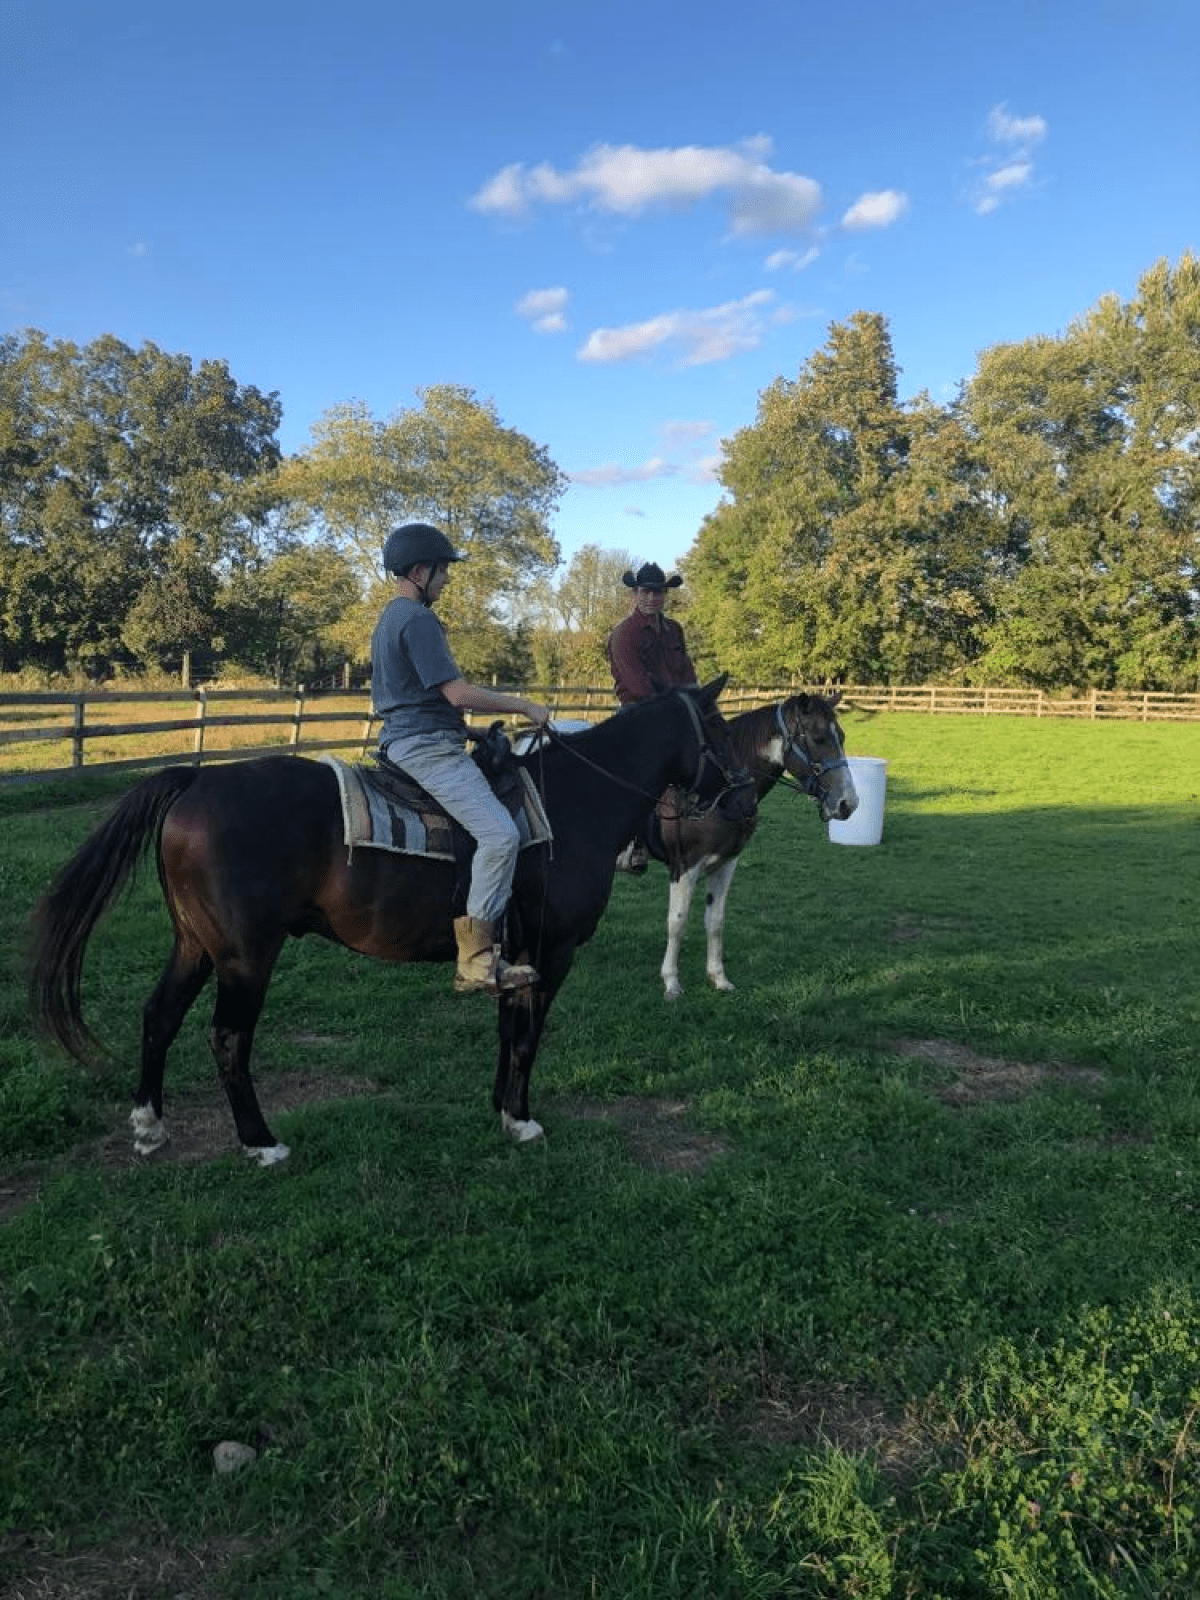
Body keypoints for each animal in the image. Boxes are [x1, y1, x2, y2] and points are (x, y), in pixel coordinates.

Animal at [27, 679, 748, 1162]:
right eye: (718, 726)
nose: (742, 800)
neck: (575, 803)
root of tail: (196, 780)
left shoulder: (513, 955)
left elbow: (506, 1032)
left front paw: (499, 1107)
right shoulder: (552, 952)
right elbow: (527, 1039)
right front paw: (521, 1120)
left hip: (195, 943)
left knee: (160, 1017)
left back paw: (150, 1126)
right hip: (244, 955)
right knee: (227, 1039)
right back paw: (261, 1142)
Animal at [646, 693, 858, 999]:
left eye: (841, 736)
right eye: (818, 738)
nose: (848, 803)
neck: (723, 794)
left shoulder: (725, 863)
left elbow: (715, 920)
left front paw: (718, 977)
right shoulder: (685, 866)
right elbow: (677, 921)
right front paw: (672, 982)